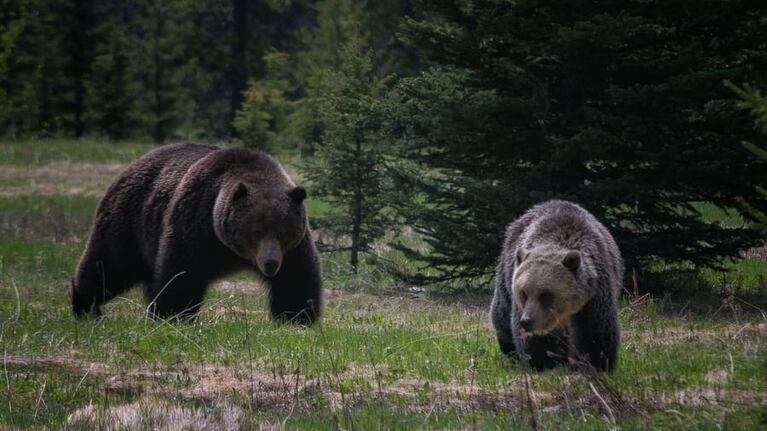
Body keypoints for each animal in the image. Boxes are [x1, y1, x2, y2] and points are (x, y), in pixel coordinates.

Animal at [71, 143, 322, 324]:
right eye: (256, 231)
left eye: (283, 232)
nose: (270, 263)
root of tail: (130, 166)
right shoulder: (196, 222)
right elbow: (181, 273)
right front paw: (174, 314)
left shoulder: (293, 248)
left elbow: (296, 278)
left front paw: (297, 316)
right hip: (129, 222)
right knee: (108, 265)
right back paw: (85, 306)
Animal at [490, 200, 623, 372]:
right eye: (523, 292)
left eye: (545, 294)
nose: (526, 321)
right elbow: (537, 341)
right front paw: (543, 362)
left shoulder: (594, 295)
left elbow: (595, 333)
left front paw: (597, 364)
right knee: (501, 314)